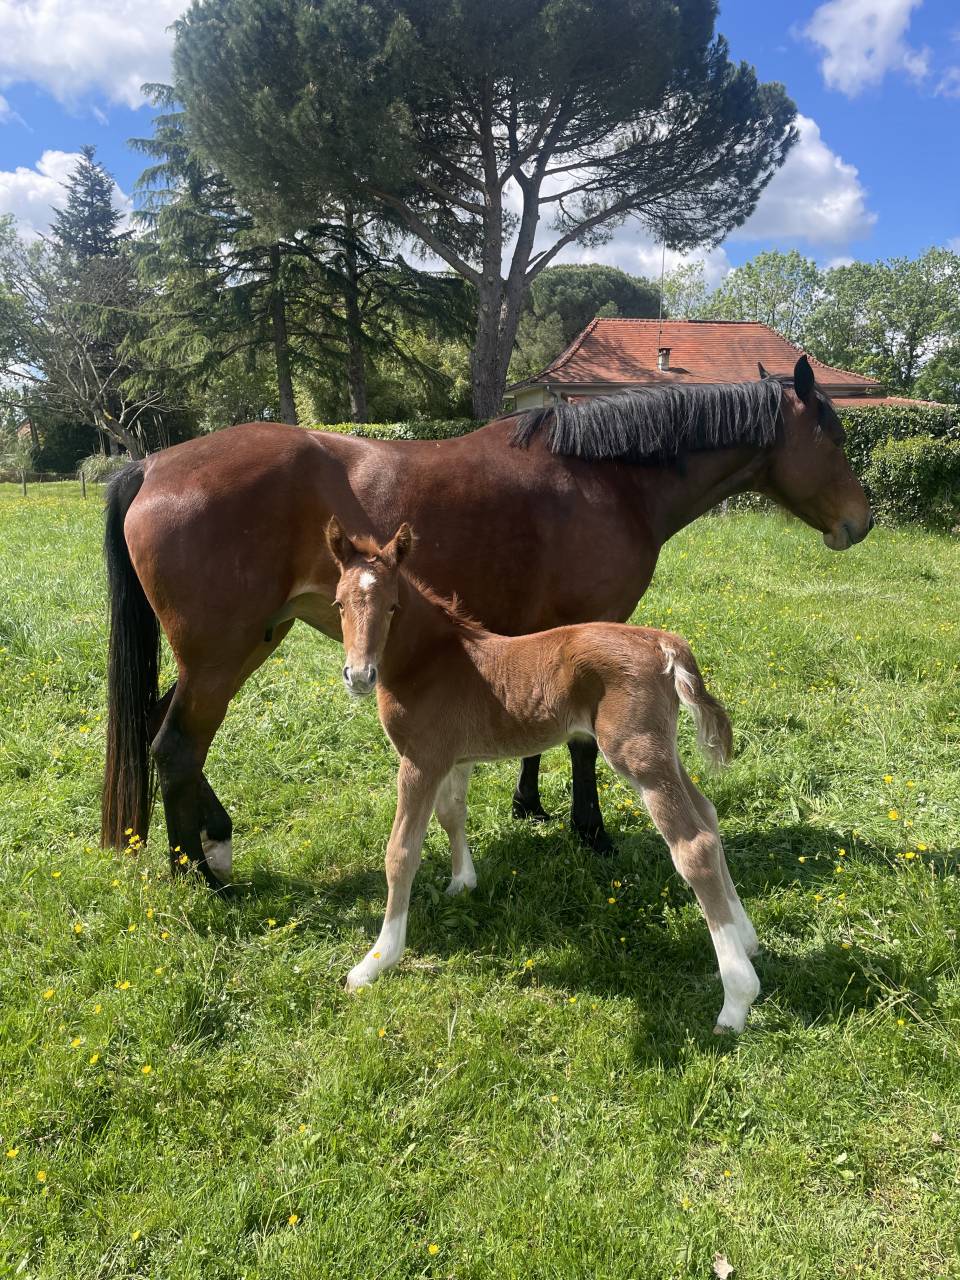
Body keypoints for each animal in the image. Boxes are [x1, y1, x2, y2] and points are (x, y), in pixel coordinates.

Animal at [101, 356, 872, 887]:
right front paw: (590, 830)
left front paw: (529, 804)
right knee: (176, 746)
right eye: (833, 435)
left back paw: (214, 838)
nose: (860, 523)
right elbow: (581, 745)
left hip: (241, 646)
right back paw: (198, 874)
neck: (605, 476)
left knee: (163, 727)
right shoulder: (593, 625)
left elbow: (544, 729)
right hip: (222, 654)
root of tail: (152, 465)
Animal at [327, 517, 761, 1034]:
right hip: (663, 750)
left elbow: (401, 852)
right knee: (709, 816)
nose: (359, 676)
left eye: (393, 605)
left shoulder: (421, 761)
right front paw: (463, 882)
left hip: (636, 754)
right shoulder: (455, 759)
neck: (431, 660)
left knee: (693, 846)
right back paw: (748, 938)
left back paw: (736, 999)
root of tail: (663, 643)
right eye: (339, 603)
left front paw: (376, 961)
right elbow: (453, 814)